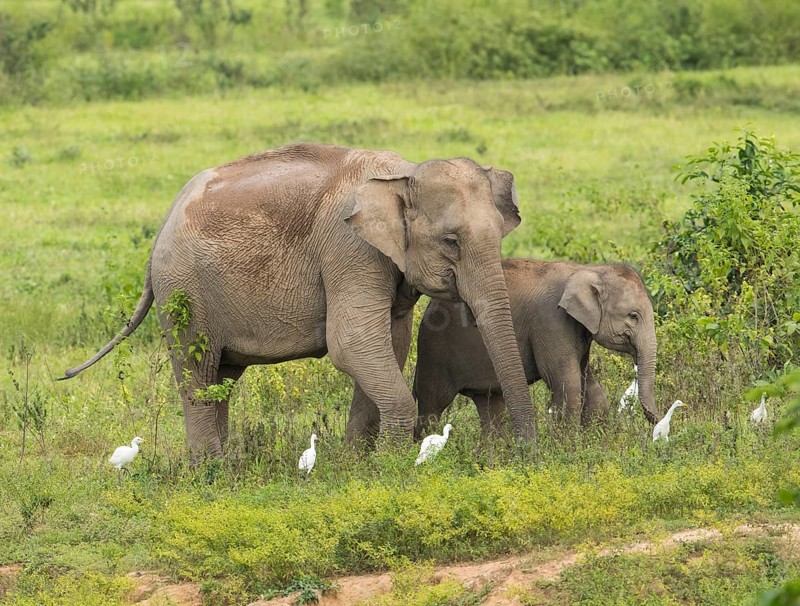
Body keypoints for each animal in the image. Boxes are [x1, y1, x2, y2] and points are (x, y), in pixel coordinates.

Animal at [60, 142, 537, 459]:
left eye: (500, 235)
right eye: (451, 241)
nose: (528, 451)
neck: (404, 172)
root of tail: (163, 223)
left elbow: (390, 342)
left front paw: (356, 462)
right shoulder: (348, 247)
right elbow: (352, 343)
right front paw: (388, 464)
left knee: (221, 376)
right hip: (182, 292)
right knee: (197, 369)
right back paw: (209, 471)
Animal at [413, 258, 659, 434]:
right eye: (633, 316)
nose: (656, 423)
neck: (588, 269)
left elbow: (589, 384)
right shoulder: (550, 321)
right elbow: (566, 384)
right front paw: (568, 449)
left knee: (489, 405)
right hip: (433, 350)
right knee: (431, 406)